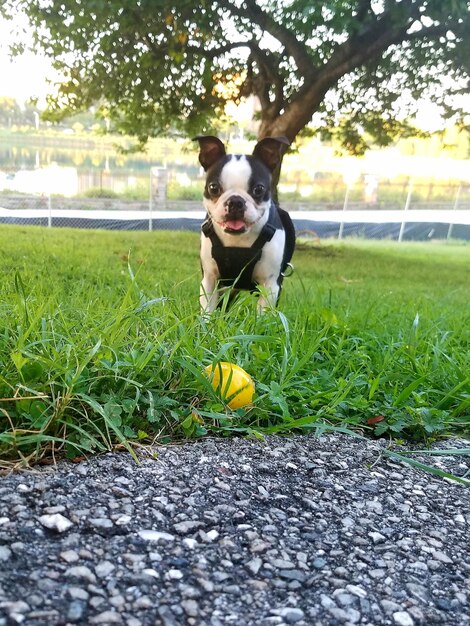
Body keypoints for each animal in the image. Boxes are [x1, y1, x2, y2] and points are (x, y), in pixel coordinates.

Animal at [193, 136, 296, 312]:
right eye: (213, 187)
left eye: (259, 189)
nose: (235, 201)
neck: (238, 241)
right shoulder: (209, 280)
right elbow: (207, 310)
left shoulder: (270, 286)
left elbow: (263, 315)